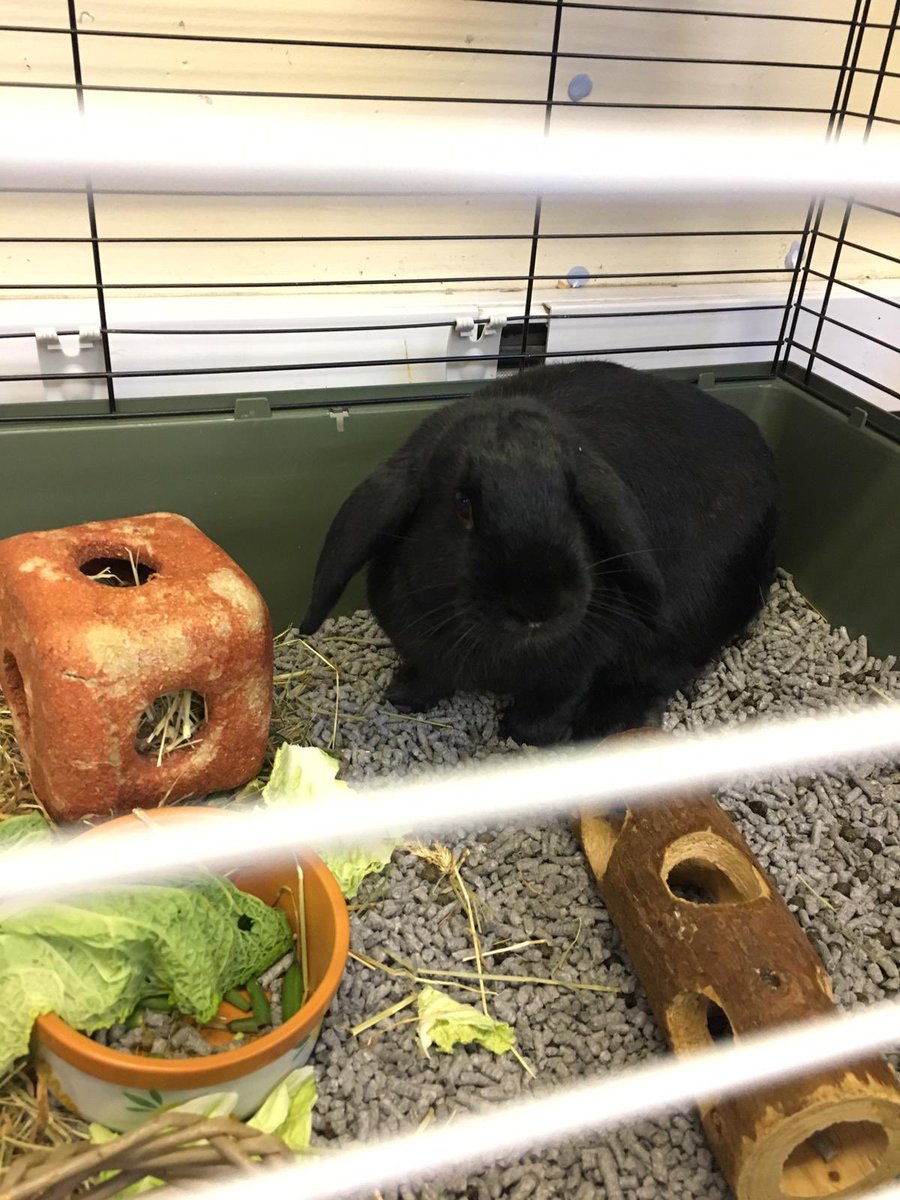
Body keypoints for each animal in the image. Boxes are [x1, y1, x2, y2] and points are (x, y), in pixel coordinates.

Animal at [299, 360, 780, 745]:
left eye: (575, 502)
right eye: (463, 505)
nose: (538, 606)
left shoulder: (577, 665)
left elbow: (544, 711)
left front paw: (533, 732)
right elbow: (428, 674)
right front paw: (402, 695)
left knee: (654, 675)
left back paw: (602, 724)